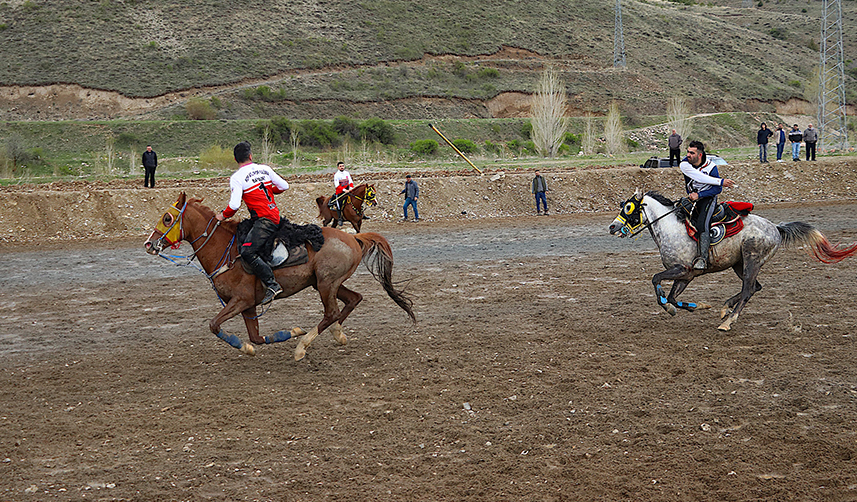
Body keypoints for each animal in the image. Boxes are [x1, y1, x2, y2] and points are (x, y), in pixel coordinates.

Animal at [144, 191, 414, 360]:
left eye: (167, 218)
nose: (149, 244)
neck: (226, 251)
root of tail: (354, 238)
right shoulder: (249, 306)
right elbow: (256, 337)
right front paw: (281, 336)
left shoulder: (241, 300)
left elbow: (214, 325)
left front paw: (250, 345)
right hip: (326, 283)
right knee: (351, 301)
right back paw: (336, 333)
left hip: (326, 284)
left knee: (332, 312)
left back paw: (302, 348)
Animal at [608, 190, 856, 332]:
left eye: (628, 208)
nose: (612, 227)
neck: (671, 229)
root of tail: (776, 228)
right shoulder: (686, 276)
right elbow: (671, 297)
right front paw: (693, 306)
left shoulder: (682, 270)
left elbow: (655, 280)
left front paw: (669, 307)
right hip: (740, 264)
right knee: (755, 287)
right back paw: (725, 308)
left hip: (752, 260)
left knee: (748, 290)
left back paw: (728, 321)